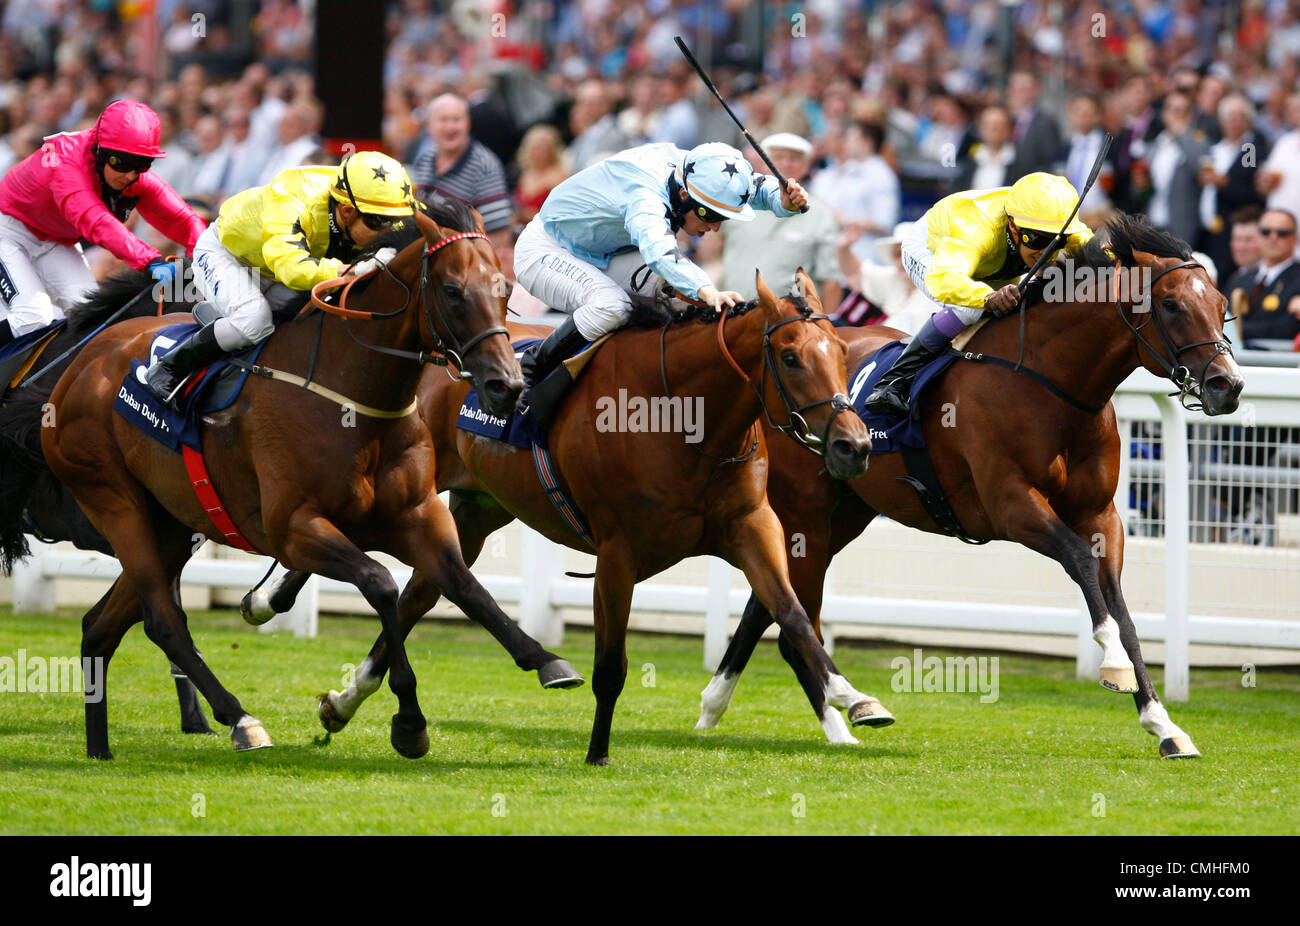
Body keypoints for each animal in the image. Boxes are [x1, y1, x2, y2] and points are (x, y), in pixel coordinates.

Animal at [32, 204, 579, 759]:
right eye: (452, 291)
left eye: (505, 290)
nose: (507, 385)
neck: (352, 397)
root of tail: (79, 363)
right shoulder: (294, 529)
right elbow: (382, 585)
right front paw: (408, 720)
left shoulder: (417, 516)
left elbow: (462, 585)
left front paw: (547, 661)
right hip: (116, 502)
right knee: (163, 620)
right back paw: (240, 720)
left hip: (169, 522)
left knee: (101, 627)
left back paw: (99, 747)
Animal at [314, 269, 883, 764]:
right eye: (789, 357)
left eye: (840, 352)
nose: (853, 447)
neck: (685, 417)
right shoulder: (617, 552)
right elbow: (610, 664)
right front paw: (597, 752)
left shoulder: (753, 527)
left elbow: (792, 614)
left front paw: (856, 698)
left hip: (474, 513)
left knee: (419, 594)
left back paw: (344, 701)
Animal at [696, 214, 1242, 759]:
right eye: (1171, 305)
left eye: (1222, 305)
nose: (1229, 386)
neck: (1050, 382)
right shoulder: (1010, 505)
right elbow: (1081, 564)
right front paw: (1112, 664)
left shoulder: (1101, 515)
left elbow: (1123, 611)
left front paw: (1164, 724)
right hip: (806, 511)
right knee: (787, 612)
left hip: (845, 512)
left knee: (770, 605)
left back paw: (748, 711)